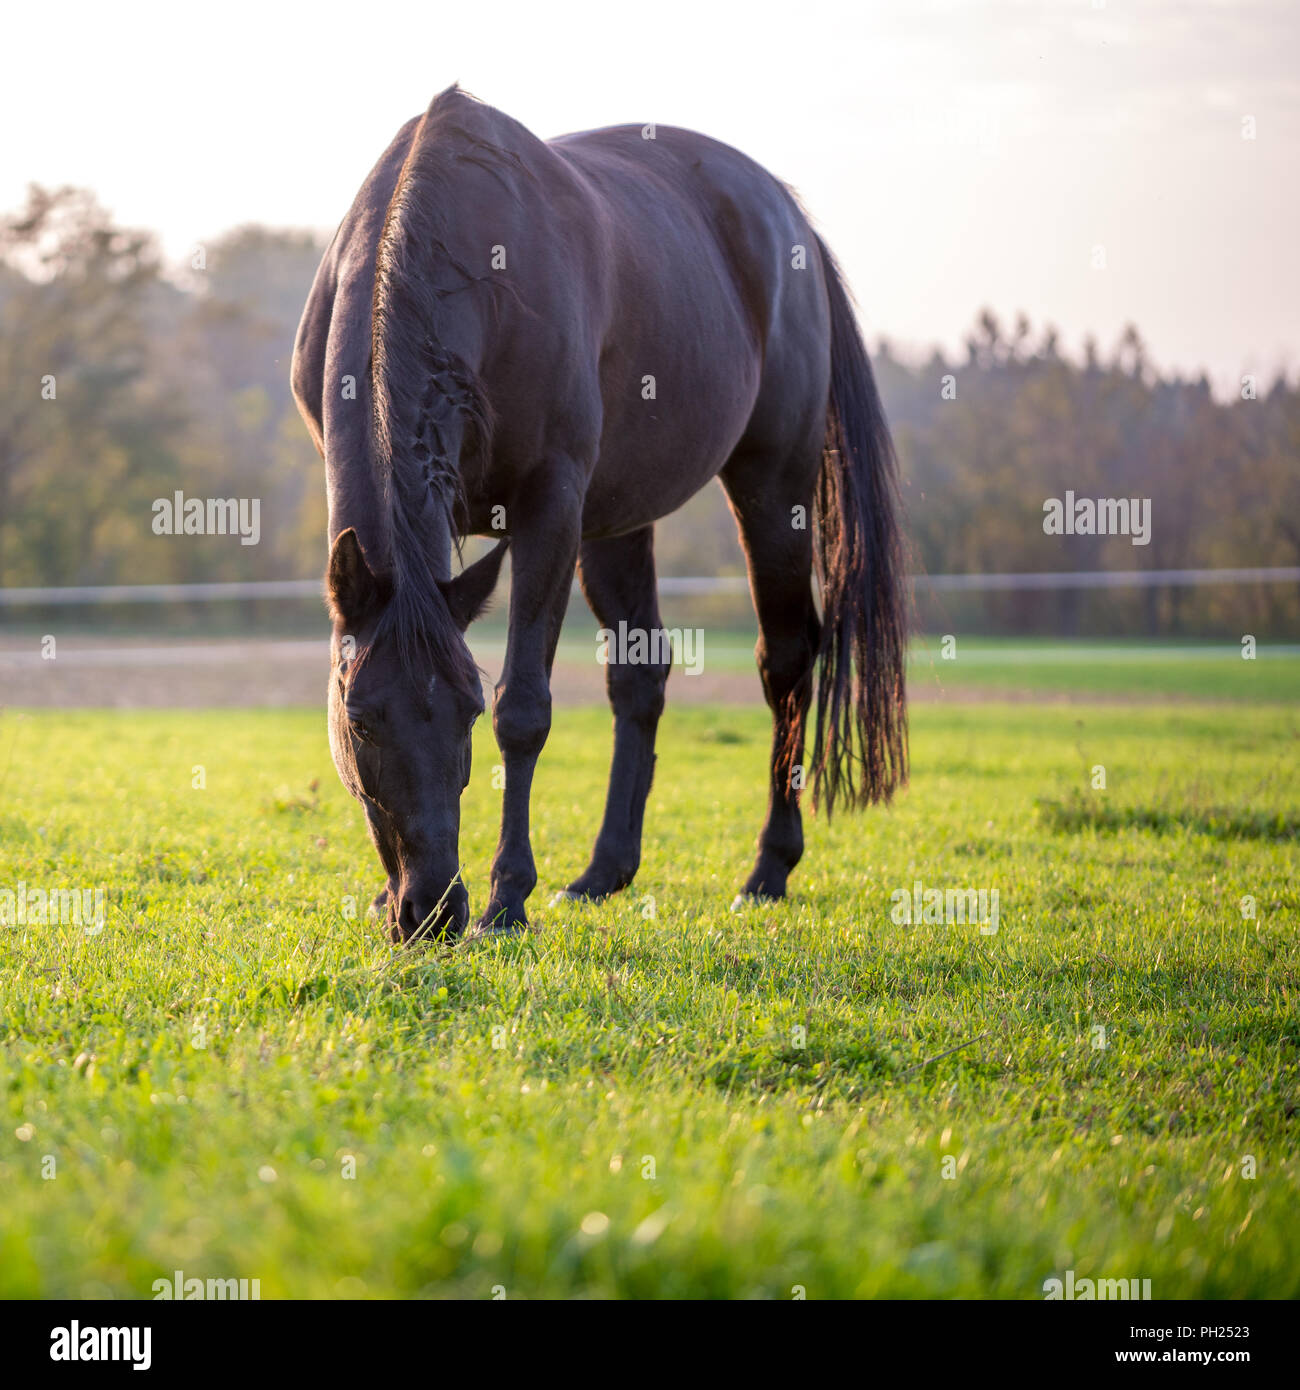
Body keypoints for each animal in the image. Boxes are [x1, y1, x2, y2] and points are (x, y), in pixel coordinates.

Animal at [291, 85, 908, 943]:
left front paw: (506, 900)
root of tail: (789, 220)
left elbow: (525, 709)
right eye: (359, 721)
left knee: (785, 660)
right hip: (617, 522)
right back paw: (603, 873)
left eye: (465, 712)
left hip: (771, 486)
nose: (431, 909)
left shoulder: (550, 509)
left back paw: (767, 869)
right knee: (640, 674)